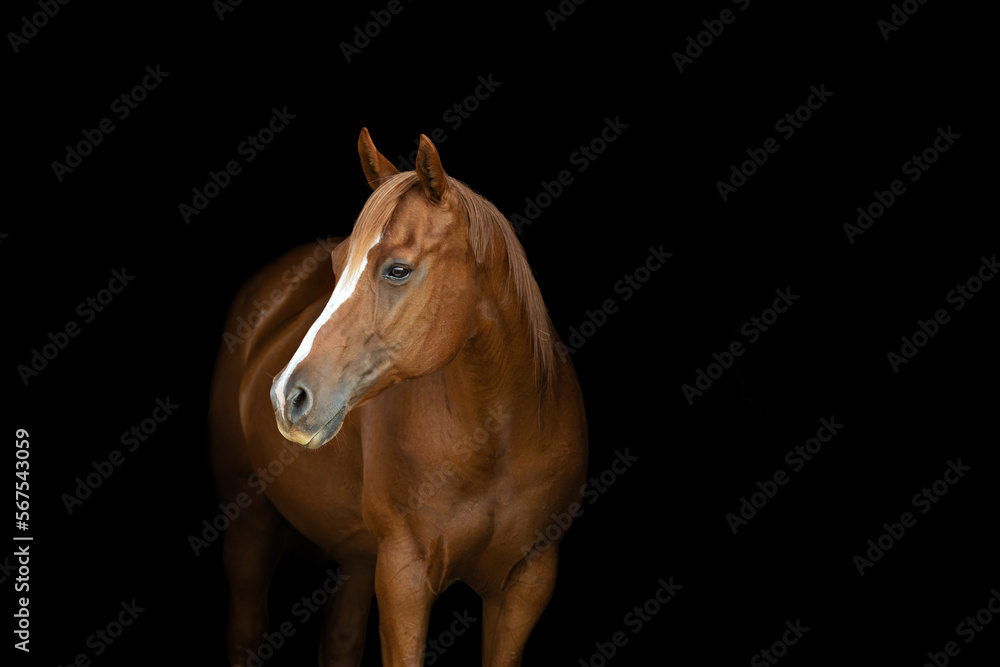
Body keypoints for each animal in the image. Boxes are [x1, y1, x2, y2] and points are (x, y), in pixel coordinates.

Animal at [208, 128, 588, 666]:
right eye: (336, 263)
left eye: (398, 271)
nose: (287, 397)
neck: (498, 441)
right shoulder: (403, 578)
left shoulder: (527, 583)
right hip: (248, 520)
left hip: (355, 557)